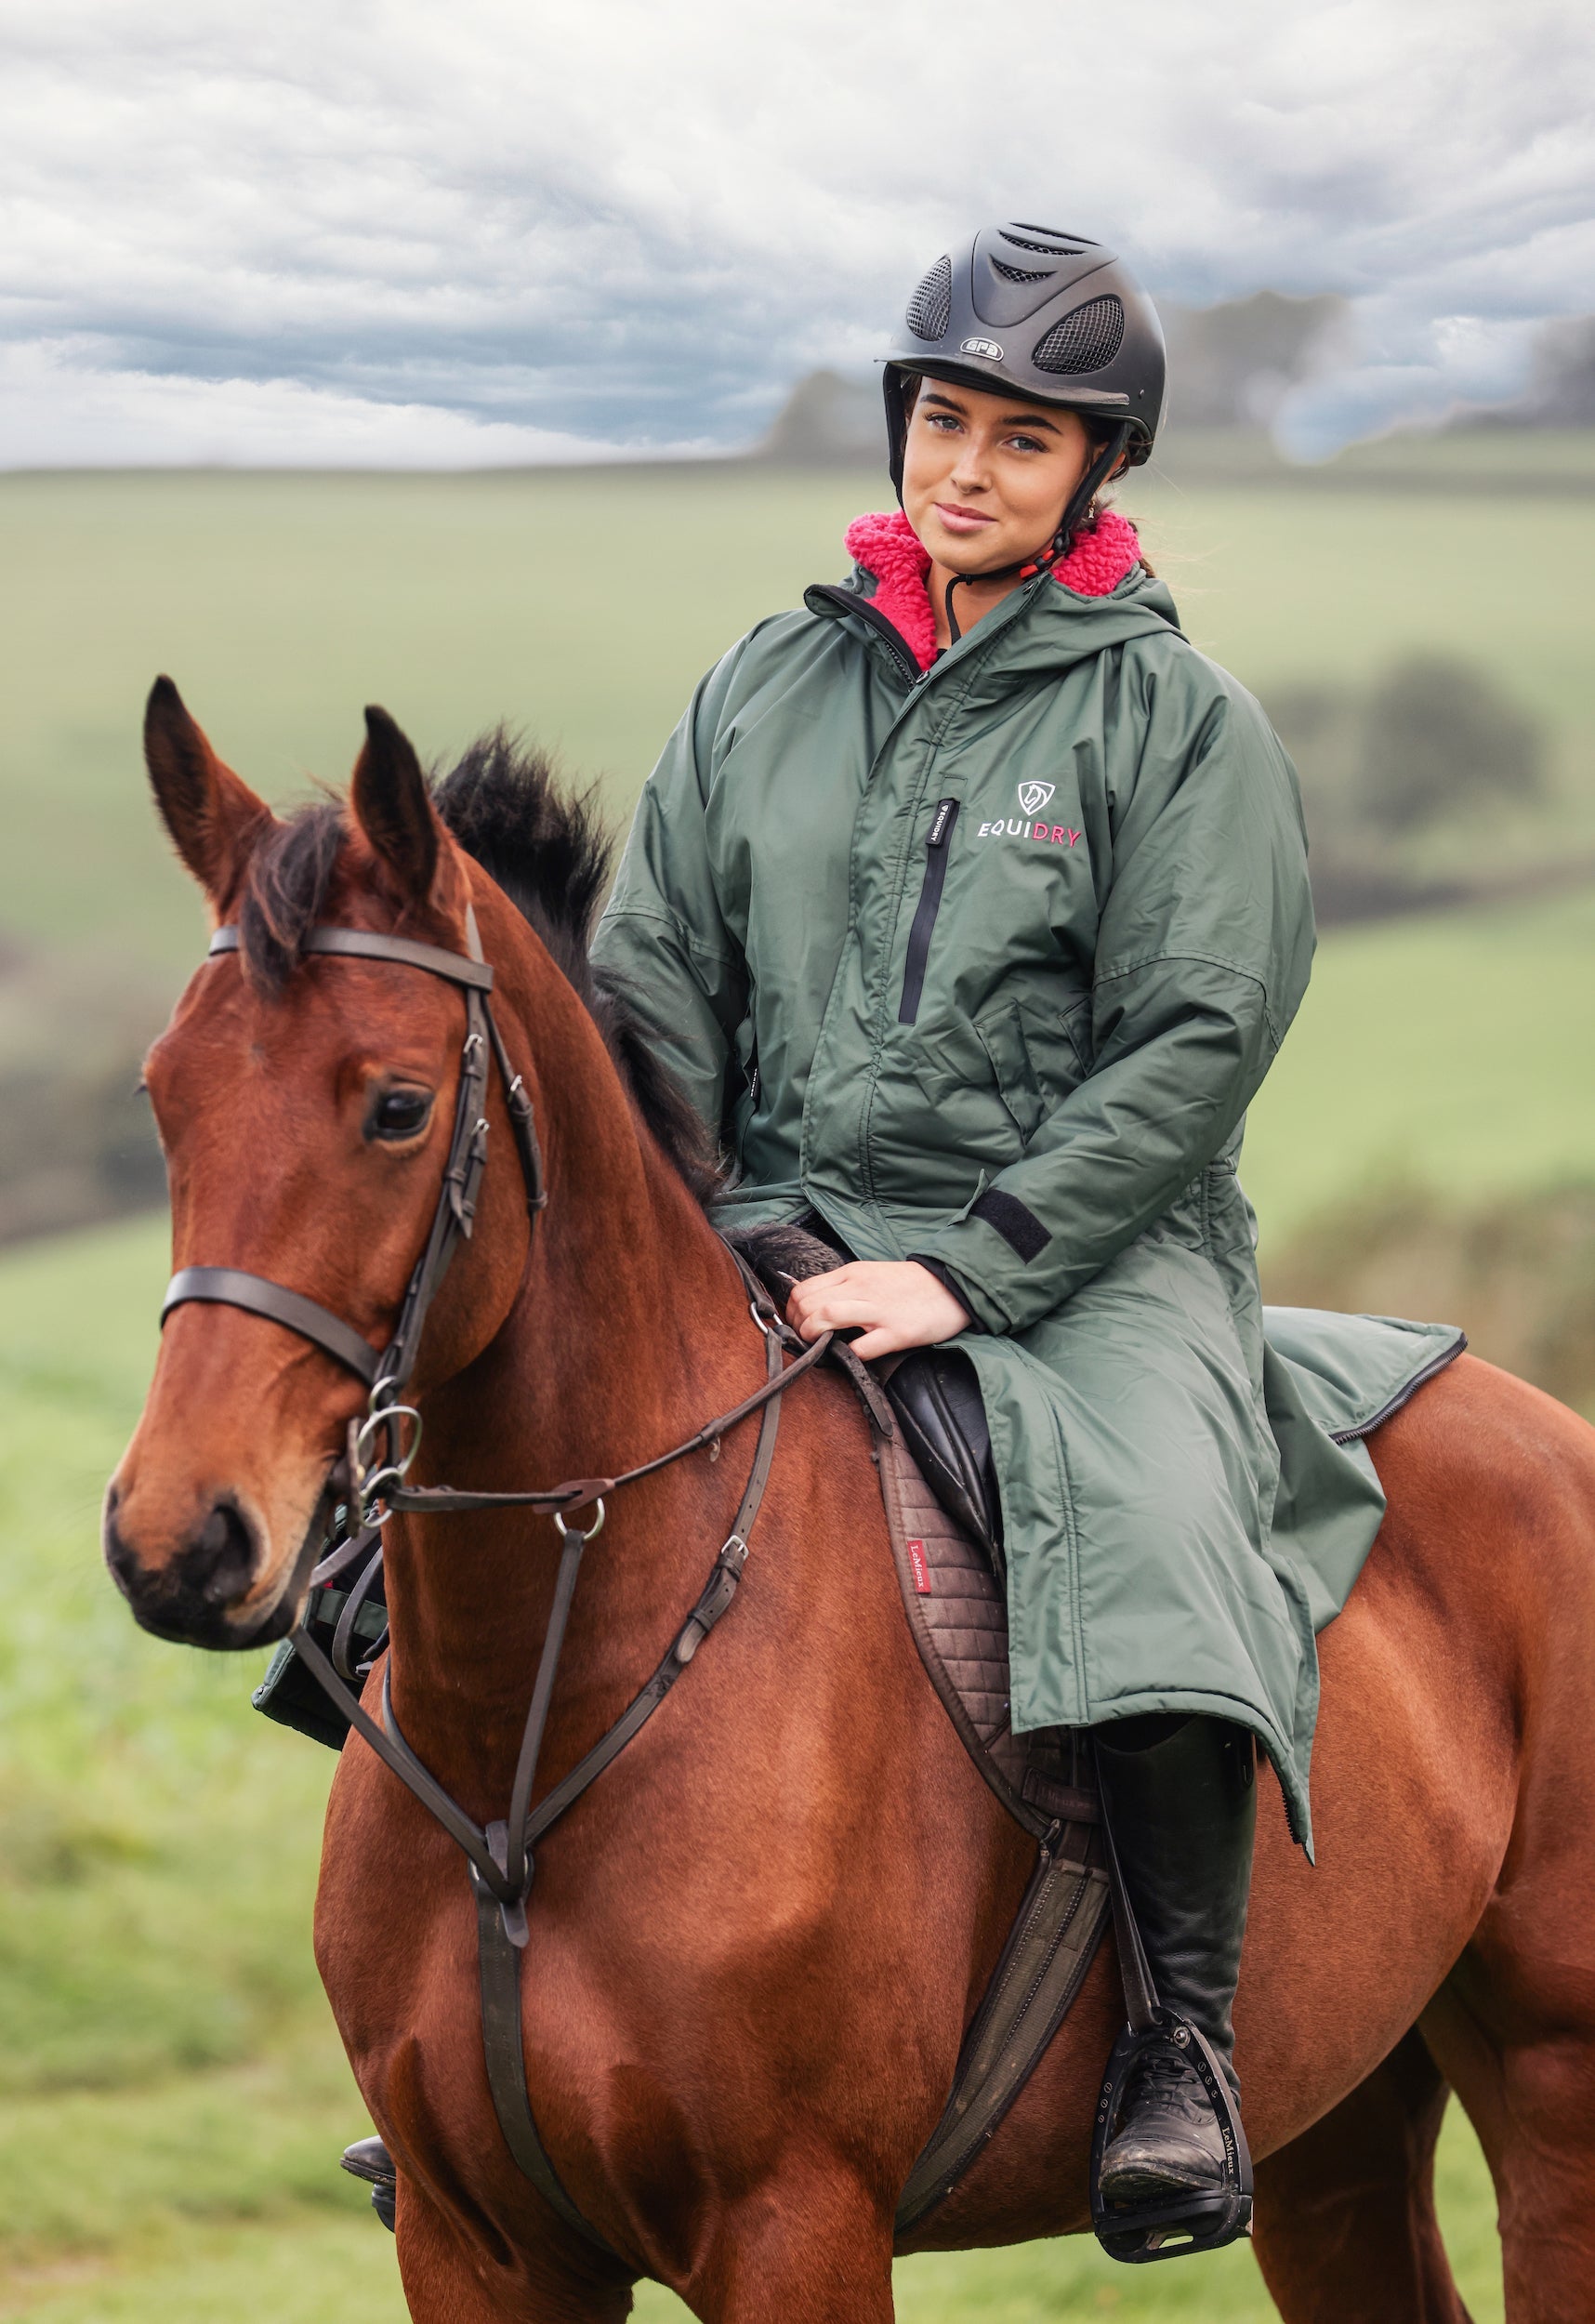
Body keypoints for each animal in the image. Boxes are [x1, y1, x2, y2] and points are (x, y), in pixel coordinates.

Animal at [104, 678, 1595, 2323]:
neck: (534, 1731)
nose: (179, 1541)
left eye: (397, 1107)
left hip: (1553, 2089)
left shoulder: (793, 2224)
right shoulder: (475, 2245)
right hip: (1334, 2125)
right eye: (163, 1095)